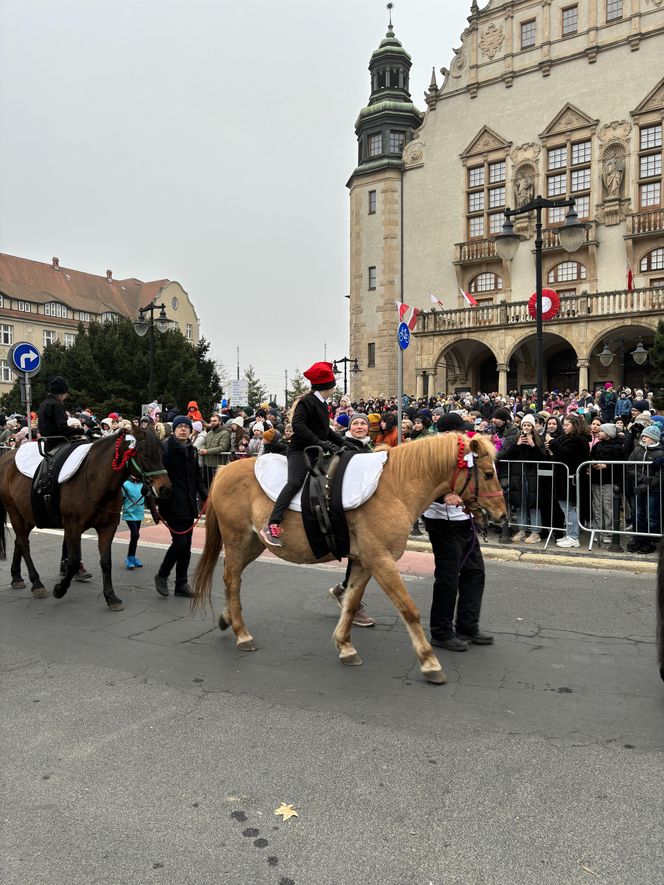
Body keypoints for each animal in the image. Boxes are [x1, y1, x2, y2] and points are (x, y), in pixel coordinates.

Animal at [0, 426, 174, 608]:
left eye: (162, 454)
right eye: (146, 455)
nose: (165, 488)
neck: (95, 479)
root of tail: (6, 455)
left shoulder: (107, 527)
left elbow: (106, 561)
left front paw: (111, 596)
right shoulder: (73, 527)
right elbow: (74, 560)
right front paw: (60, 589)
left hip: (28, 515)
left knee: (19, 541)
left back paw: (16, 577)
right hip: (14, 512)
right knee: (24, 544)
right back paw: (37, 583)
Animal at [195, 432, 506, 688]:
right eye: (488, 473)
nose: (502, 516)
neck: (393, 487)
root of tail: (224, 470)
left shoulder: (364, 561)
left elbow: (351, 601)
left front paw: (345, 646)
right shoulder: (381, 561)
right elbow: (409, 609)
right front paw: (429, 662)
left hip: (252, 544)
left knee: (232, 579)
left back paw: (227, 618)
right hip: (237, 541)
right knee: (232, 580)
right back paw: (242, 634)